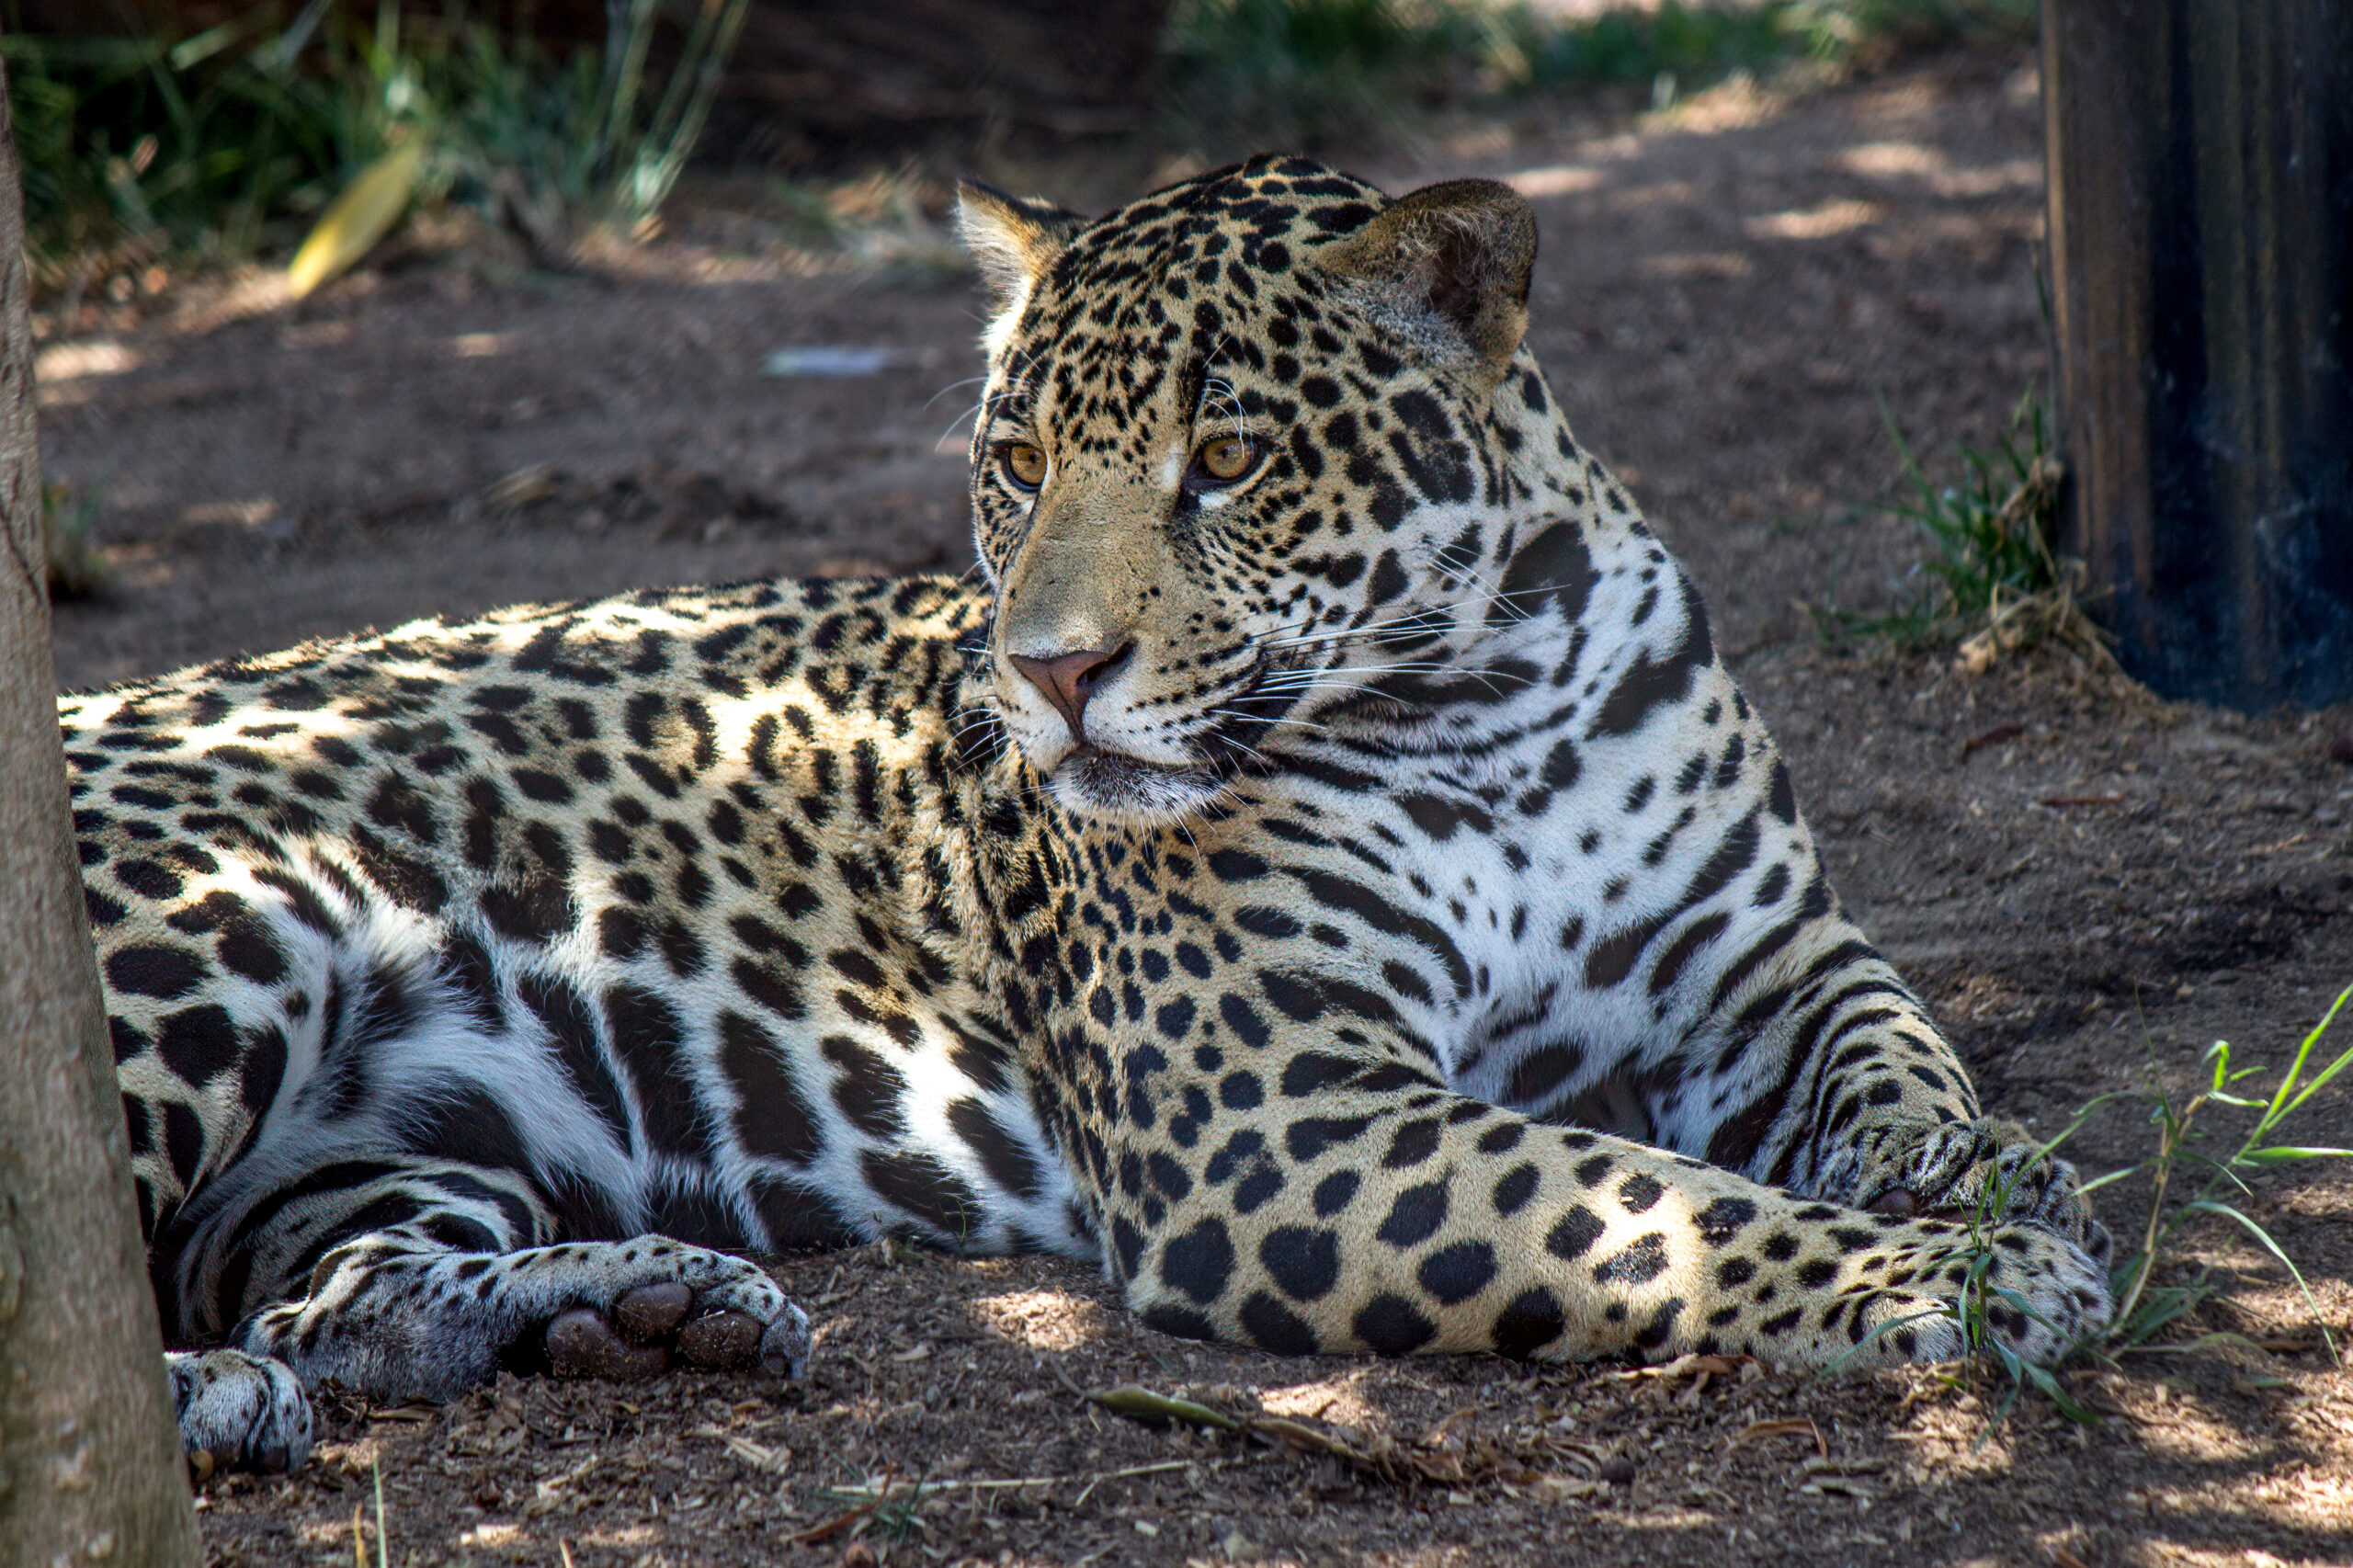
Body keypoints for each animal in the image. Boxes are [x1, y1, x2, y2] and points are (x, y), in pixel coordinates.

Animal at [63, 156, 2111, 1474]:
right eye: (1020, 458)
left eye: (1230, 458)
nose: (1047, 674)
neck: (1484, 708)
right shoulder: (1269, 1120)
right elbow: (1646, 1206)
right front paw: (1951, 1273)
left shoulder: (1767, 953)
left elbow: (1898, 1048)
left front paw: (1972, 1176)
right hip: (227, 917)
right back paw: (216, 1409)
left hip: (390, 1127)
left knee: (334, 1295)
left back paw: (640, 1314)